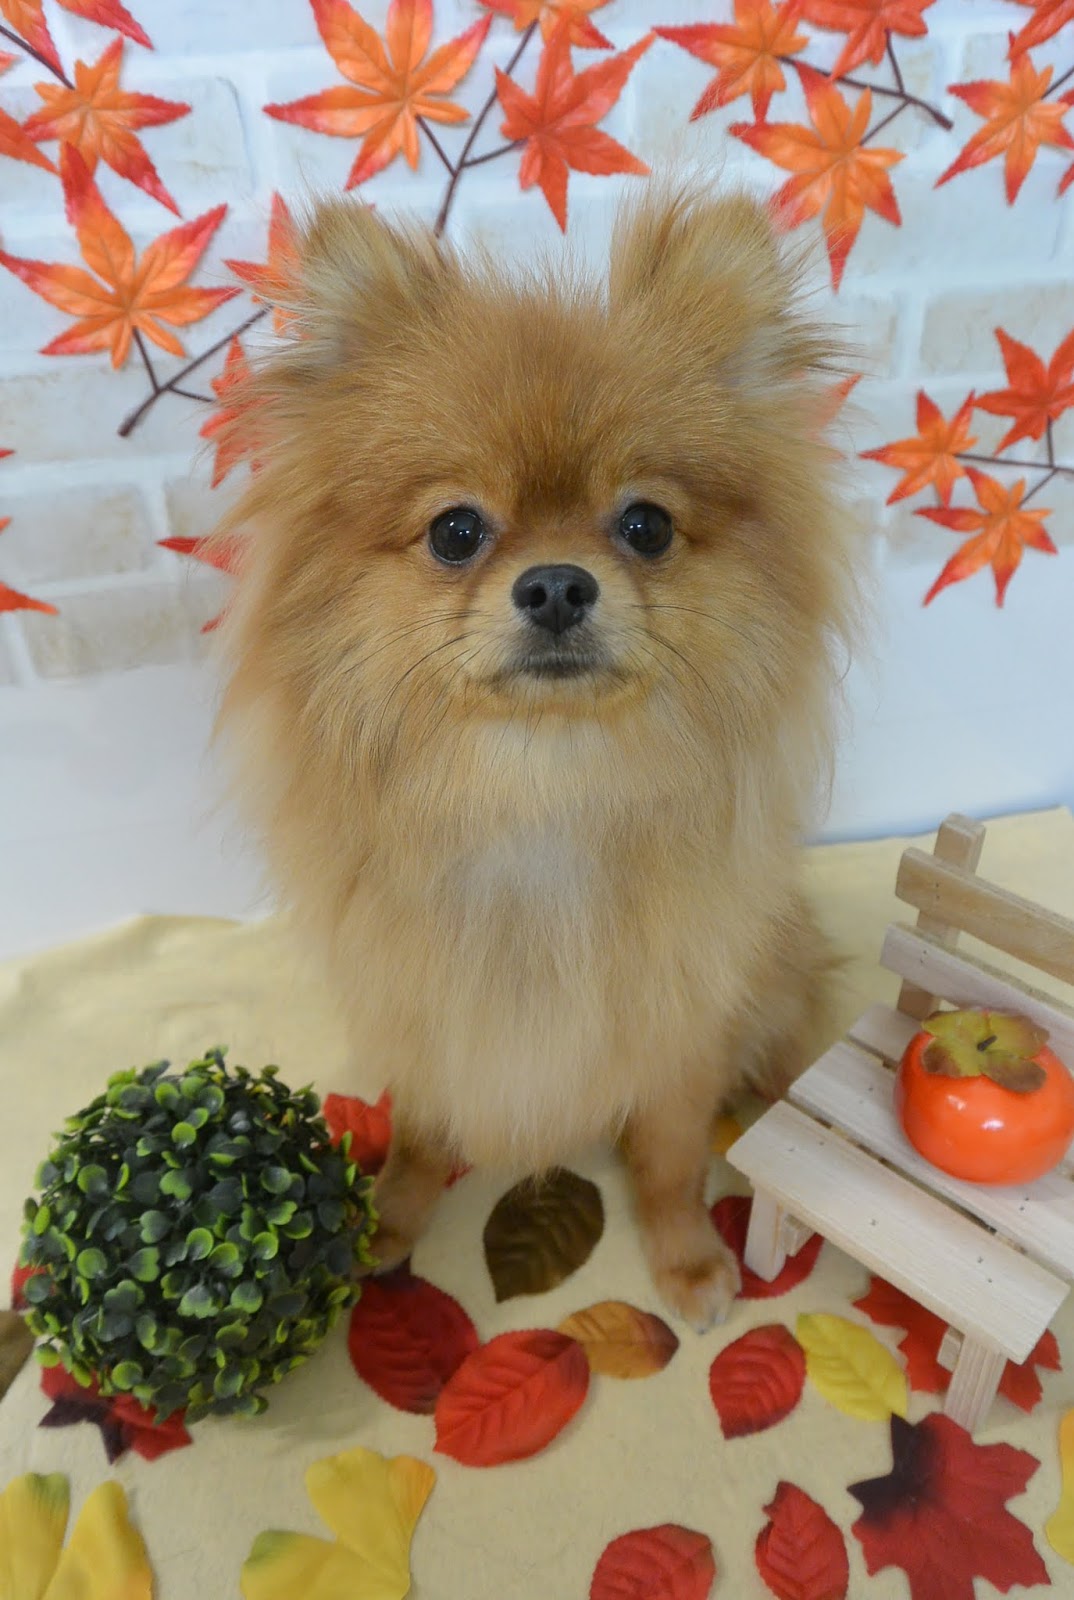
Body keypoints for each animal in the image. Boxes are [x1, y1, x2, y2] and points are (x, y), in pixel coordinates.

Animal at [217, 184, 857, 1331]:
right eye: (456, 531)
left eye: (644, 525)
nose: (557, 583)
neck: (544, 788)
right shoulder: (427, 1004)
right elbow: (421, 1129)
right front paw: (389, 1220)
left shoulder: (677, 1019)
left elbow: (669, 1150)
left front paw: (686, 1258)